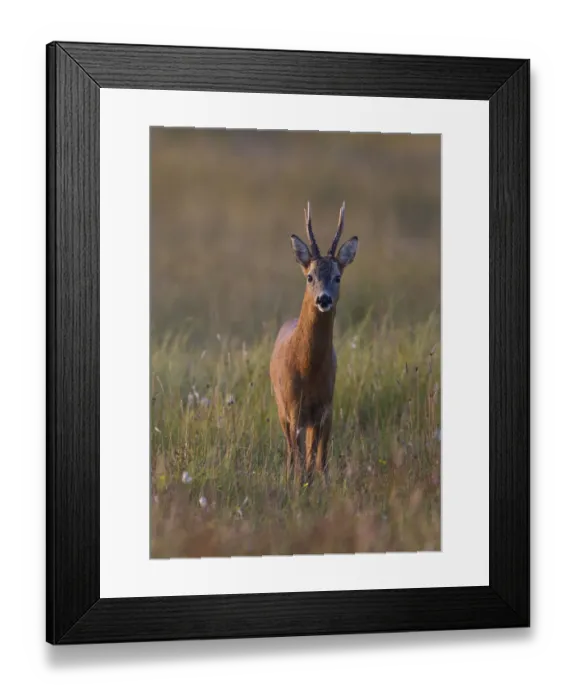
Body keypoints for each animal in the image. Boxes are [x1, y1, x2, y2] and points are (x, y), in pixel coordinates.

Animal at [270, 202, 358, 484]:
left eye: (338, 276)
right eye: (309, 276)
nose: (324, 299)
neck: (307, 368)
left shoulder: (325, 407)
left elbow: (320, 461)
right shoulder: (293, 407)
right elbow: (300, 461)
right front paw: (298, 486)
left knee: (311, 456)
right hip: (281, 408)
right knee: (291, 454)